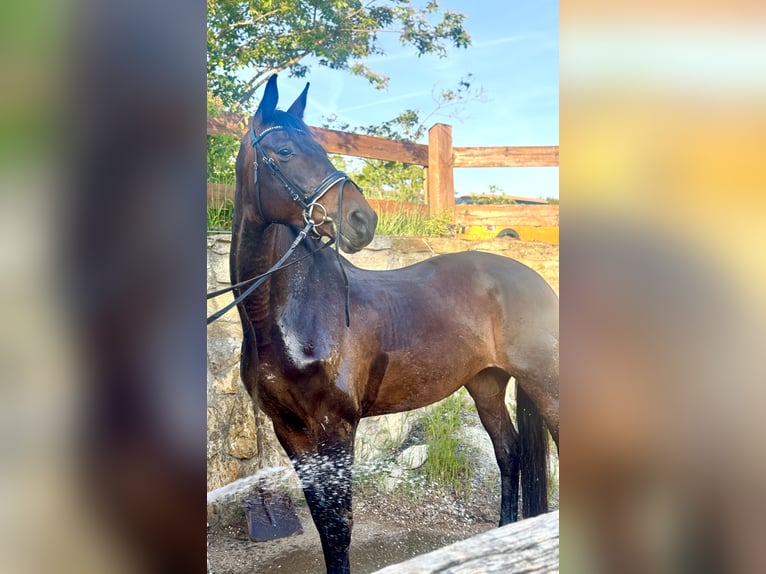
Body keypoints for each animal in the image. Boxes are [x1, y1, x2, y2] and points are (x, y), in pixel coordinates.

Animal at [229, 74, 559, 574]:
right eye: (284, 151)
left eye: (321, 147)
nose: (362, 220)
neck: (292, 314)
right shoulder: (290, 430)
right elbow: (322, 521)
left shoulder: (335, 427)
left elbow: (340, 524)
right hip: (485, 383)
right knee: (509, 452)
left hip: (546, 383)